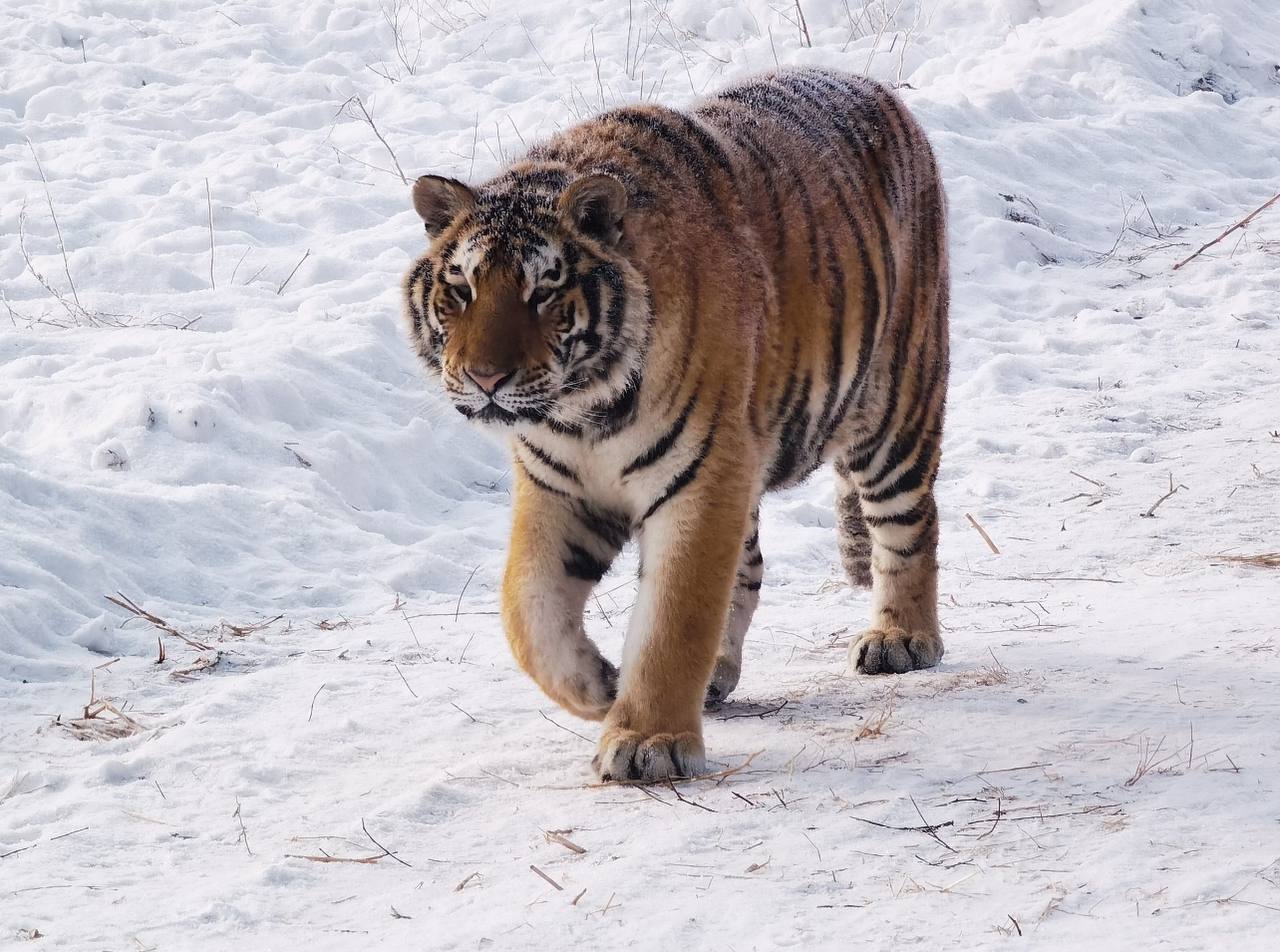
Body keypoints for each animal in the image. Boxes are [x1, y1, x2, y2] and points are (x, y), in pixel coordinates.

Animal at [401, 67, 949, 782]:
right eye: (460, 290)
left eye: (543, 292)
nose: (484, 378)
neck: (583, 412)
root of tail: (878, 88)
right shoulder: (559, 489)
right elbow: (527, 609)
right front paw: (598, 685)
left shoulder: (700, 482)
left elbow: (672, 620)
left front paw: (648, 742)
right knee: (748, 568)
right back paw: (715, 676)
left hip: (893, 412)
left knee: (910, 524)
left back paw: (901, 638)